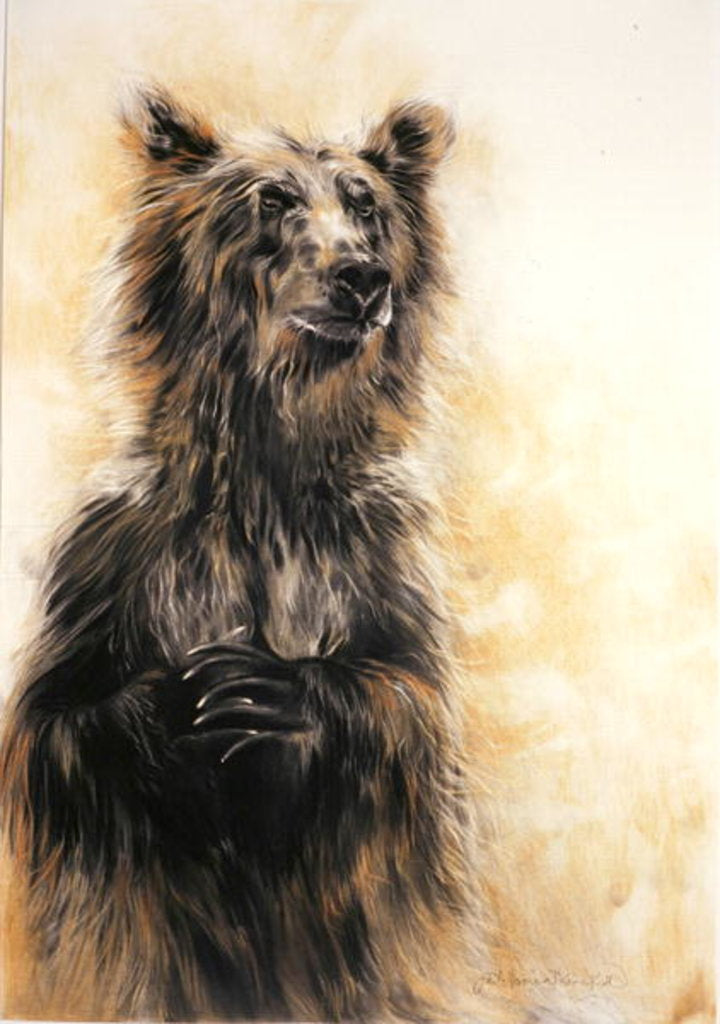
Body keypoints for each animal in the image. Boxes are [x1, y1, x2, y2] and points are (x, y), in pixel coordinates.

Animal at [0, 86, 474, 1022]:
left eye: (366, 205)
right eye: (273, 200)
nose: (362, 276)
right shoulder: (114, 563)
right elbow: (55, 730)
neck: (266, 472)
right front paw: (174, 700)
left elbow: (406, 706)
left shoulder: (374, 564)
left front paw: (268, 688)